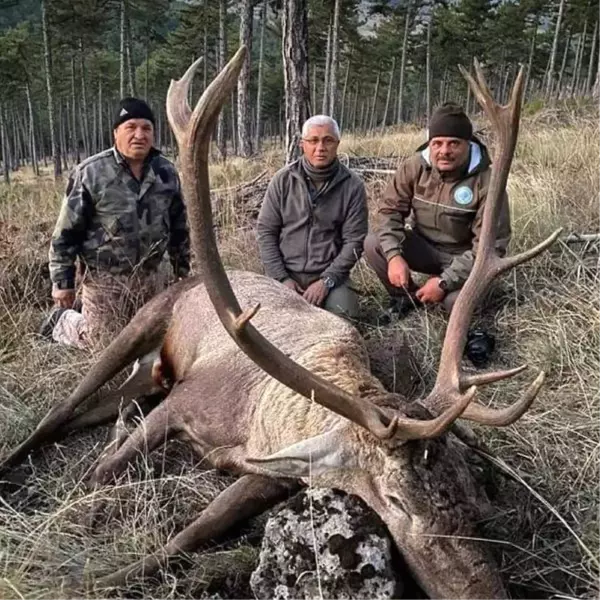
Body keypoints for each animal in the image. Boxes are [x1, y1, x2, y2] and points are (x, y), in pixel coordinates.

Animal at [1, 48, 564, 600]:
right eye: (396, 500)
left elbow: (200, 528)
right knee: (63, 409)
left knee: (104, 406)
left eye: (471, 492)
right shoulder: (185, 403)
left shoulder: (275, 473)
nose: (484, 591)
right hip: (143, 321)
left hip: (151, 376)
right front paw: (87, 577)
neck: (264, 426)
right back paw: (13, 462)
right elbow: (104, 475)